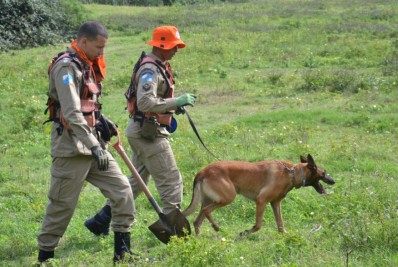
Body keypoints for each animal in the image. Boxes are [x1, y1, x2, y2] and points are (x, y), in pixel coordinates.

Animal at [183, 155, 336, 237]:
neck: (291, 173)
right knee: (206, 211)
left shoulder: (275, 203)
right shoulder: (261, 201)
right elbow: (258, 225)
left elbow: (280, 224)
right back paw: (216, 227)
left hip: (210, 200)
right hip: (228, 197)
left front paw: (285, 236)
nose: (333, 181)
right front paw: (244, 233)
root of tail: (202, 172)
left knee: (197, 220)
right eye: (324, 173)